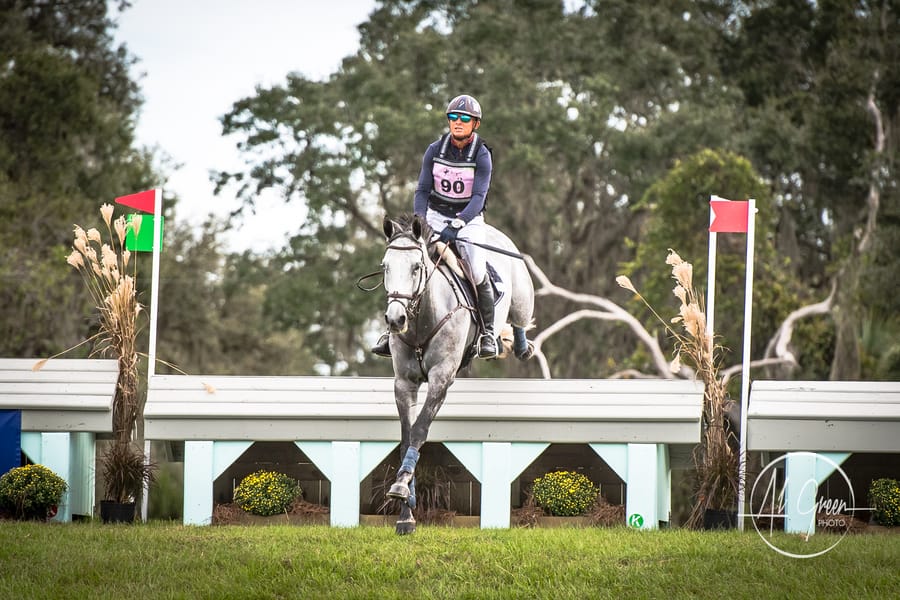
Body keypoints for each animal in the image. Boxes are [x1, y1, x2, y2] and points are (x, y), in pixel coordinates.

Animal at [380, 213, 536, 532]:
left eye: (416, 268)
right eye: (385, 267)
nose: (395, 319)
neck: (420, 322)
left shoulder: (441, 378)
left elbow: (420, 430)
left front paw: (401, 487)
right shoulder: (404, 384)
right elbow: (406, 438)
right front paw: (406, 514)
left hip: (522, 297)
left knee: (520, 319)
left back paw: (517, 345)